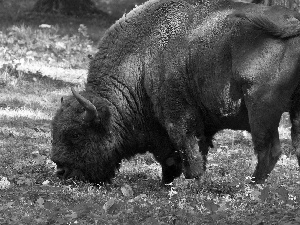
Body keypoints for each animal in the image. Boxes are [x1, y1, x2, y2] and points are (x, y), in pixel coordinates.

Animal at [52, 0, 300, 185]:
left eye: (76, 134)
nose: (61, 171)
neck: (140, 61)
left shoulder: (178, 118)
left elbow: (189, 151)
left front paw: (192, 183)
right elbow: (180, 155)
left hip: (261, 109)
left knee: (269, 150)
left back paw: (251, 185)